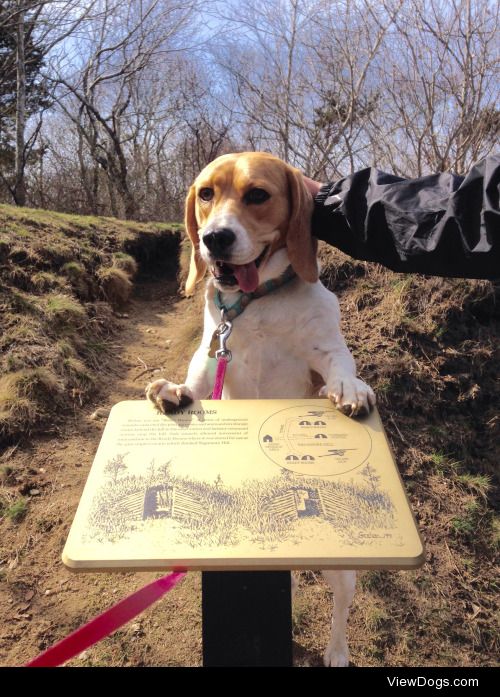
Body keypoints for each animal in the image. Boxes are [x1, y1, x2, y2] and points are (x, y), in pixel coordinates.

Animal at [146, 151, 376, 664]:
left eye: (257, 195)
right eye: (206, 194)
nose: (214, 238)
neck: (253, 304)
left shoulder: (323, 349)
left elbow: (339, 365)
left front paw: (350, 389)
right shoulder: (211, 353)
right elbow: (196, 381)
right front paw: (176, 391)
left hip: (342, 573)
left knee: (341, 608)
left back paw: (337, 651)